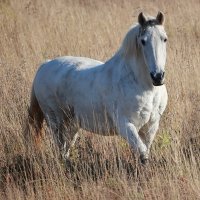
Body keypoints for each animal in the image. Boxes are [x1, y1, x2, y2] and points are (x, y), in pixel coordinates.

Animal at [28, 11, 168, 164]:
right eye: (143, 41)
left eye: (165, 39)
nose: (157, 76)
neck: (146, 88)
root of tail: (44, 65)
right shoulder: (126, 125)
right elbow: (143, 154)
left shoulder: (151, 126)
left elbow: (144, 151)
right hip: (55, 121)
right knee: (60, 147)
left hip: (71, 124)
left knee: (65, 149)